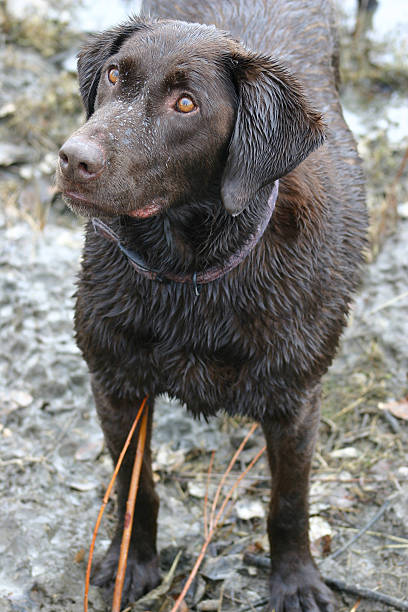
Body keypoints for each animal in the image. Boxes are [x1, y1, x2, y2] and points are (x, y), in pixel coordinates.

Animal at [56, 2, 366, 608]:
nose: (72, 159)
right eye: (114, 76)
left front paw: (296, 581)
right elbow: (136, 489)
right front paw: (132, 565)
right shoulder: (115, 383)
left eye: (185, 104)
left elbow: (288, 504)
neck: (190, 275)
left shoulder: (296, 402)